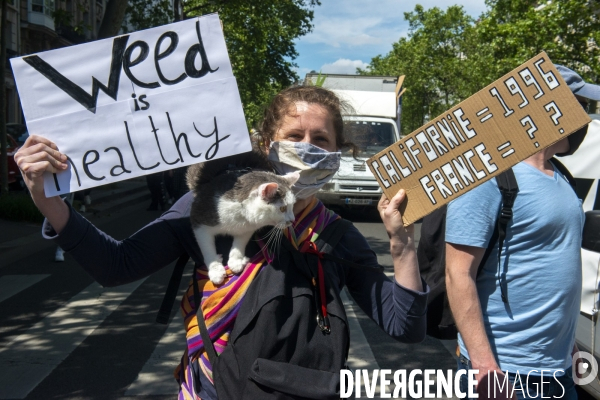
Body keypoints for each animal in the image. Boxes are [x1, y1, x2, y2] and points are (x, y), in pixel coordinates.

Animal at [188, 151, 298, 284]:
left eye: (292, 205)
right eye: (282, 208)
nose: (292, 220)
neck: (239, 215)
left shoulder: (248, 227)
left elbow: (241, 240)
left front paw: (236, 261)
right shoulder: (199, 217)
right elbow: (206, 246)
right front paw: (215, 270)